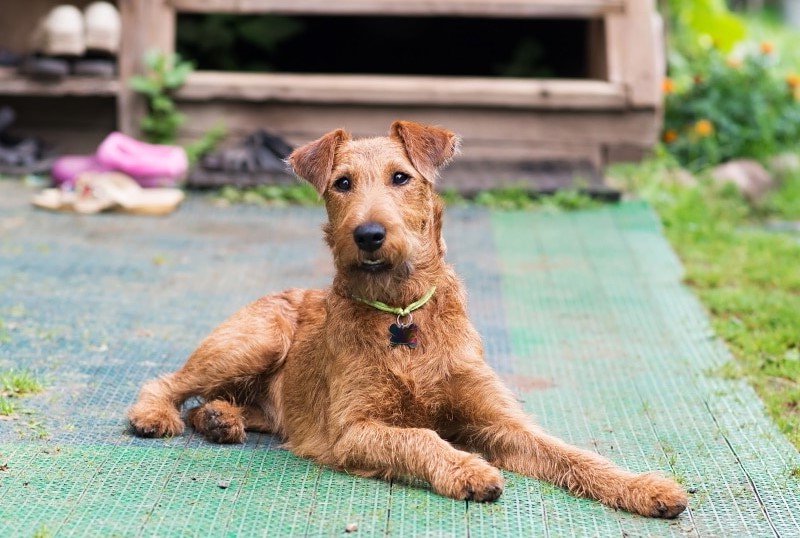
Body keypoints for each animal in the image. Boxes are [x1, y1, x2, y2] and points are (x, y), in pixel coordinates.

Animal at [130, 120, 688, 516]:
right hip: (257, 340)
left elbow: (572, 454)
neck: (401, 313)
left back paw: (220, 419)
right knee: (170, 382)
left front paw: (645, 487)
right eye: (342, 183)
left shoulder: (500, 421)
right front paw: (470, 471)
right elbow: (418, 436)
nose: (369, 234)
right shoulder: (353, 429)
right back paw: (157, 415)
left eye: (401, 177)